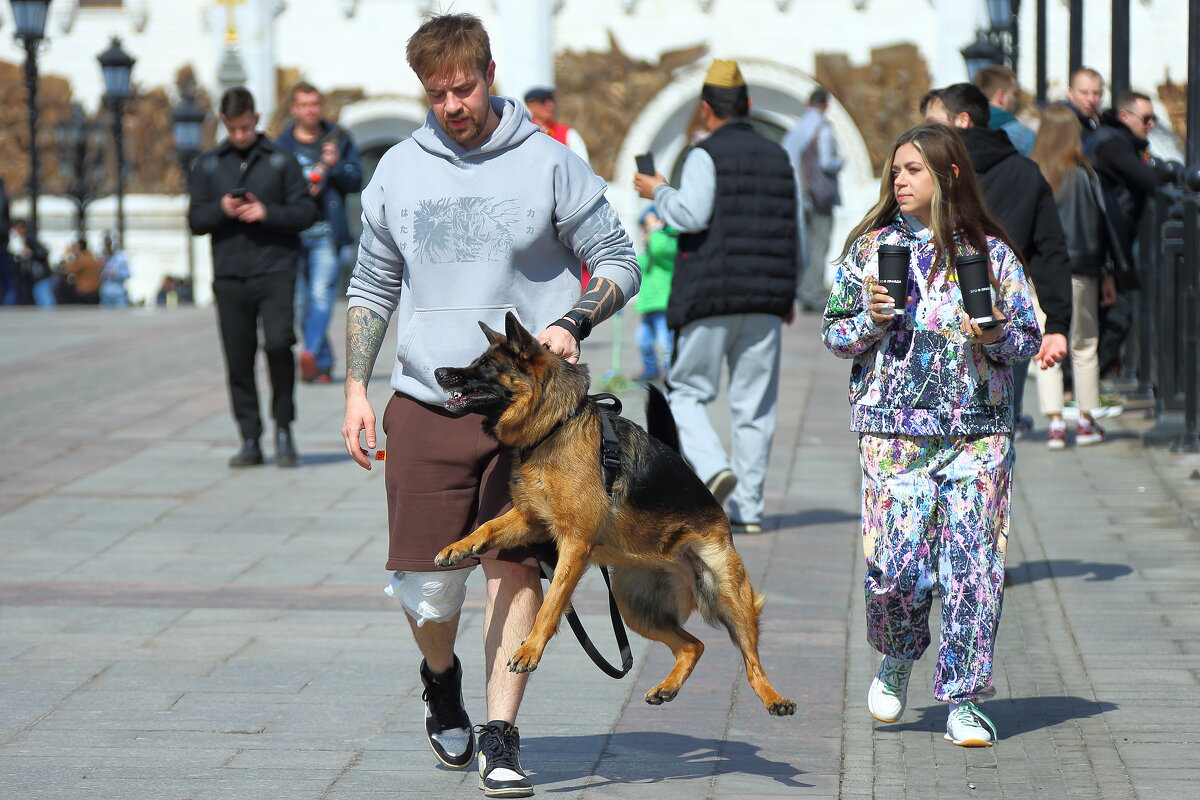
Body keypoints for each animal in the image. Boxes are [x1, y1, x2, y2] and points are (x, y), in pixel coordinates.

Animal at [432, 311, 796, 719]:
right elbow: (488, 526)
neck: (557, 425)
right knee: (693, 645)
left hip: (727, 592)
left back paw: (774, 697)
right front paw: (458, 546)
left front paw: (530, 648)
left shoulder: (574, 546)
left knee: (751, 661)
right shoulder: (531, 520)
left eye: (487, 366)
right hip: (633, 607)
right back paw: (668, 687)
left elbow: (550, 604)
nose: (439, 372)